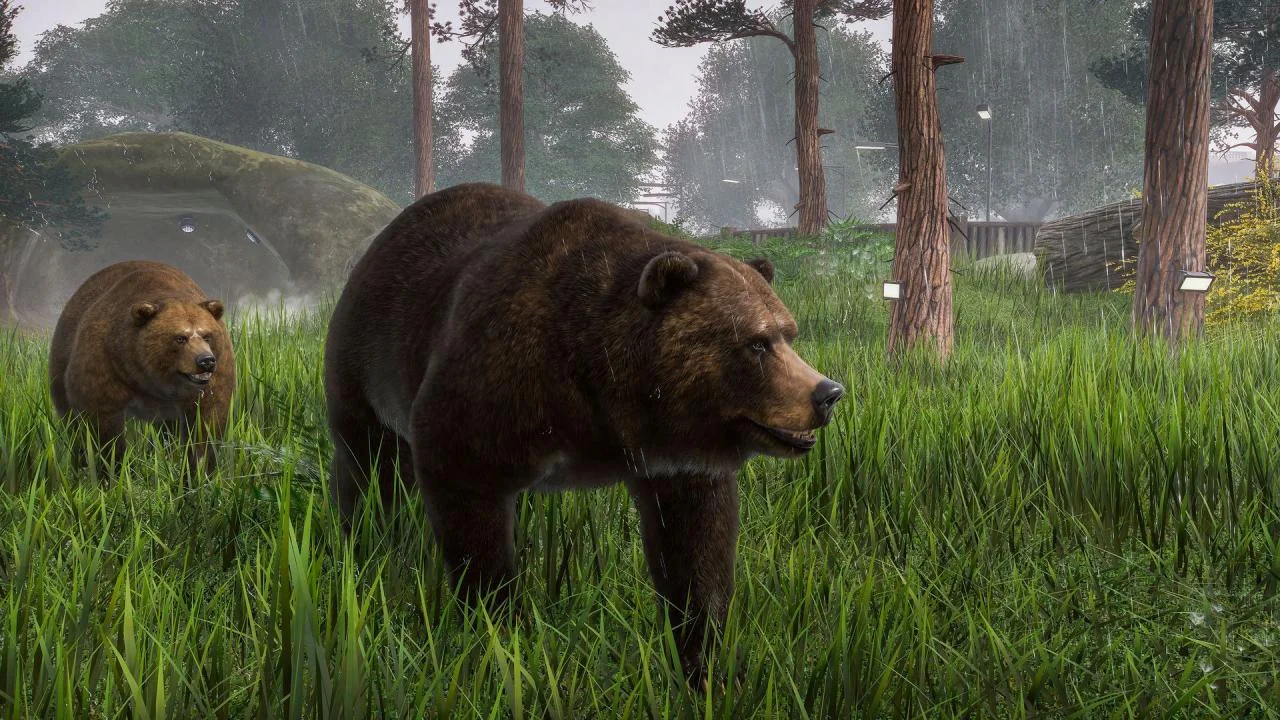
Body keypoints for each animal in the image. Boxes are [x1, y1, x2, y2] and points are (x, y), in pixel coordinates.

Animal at [49, 260, 235, 483]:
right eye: (180, 338)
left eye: (207, 335)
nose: (206, 361)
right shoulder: (105, 362)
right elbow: (100, 424)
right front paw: (112, 472)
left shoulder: (214, 377)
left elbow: (206, 422)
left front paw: (197, 474)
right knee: (71, 423)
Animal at [323, 182, 844, 684]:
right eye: (756, 343)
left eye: (788, 333)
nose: (827, 393)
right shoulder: (495, 381)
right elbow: (466, 493)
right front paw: (499, 632)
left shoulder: (677, 457)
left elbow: (697, 547)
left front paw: (706, 661)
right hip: (367, 362)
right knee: (366, 465)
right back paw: (361, 543)